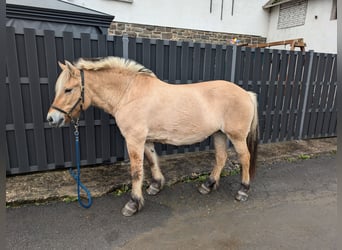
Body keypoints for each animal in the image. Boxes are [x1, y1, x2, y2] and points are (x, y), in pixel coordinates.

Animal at [46, 56, 258, 217]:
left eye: (68, 89)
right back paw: (208, 185)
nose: (51, 118)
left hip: (236, 136)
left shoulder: (134, 140)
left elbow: (136, 171)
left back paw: (243, 190)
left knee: (245, 158)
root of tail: (246, 93)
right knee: (221, 158)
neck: (128, 94)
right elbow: (152, 161)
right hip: (219, 134)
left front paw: (133, 203)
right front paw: (156, 186)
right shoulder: (146, 140)